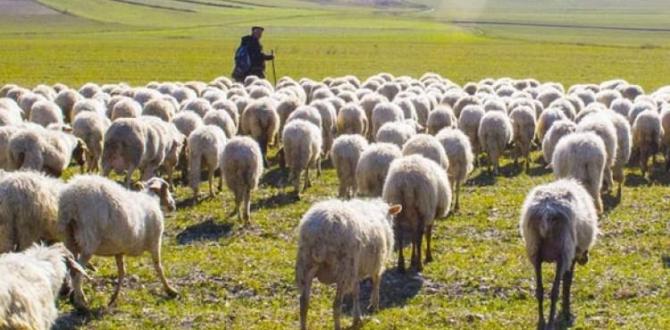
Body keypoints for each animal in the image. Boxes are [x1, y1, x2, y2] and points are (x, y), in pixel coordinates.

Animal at [59, 175, 178, 310]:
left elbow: (122, 272)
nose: (173, 205)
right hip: (88, 241)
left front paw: (113, 298)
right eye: (166, 187)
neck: (150, 199)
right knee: (77, 272)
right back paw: (81, 302)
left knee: (72, 268)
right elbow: (158, 267)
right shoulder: (155, 241)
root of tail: (71, 201)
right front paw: (170, 290)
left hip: (70, 239)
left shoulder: (119, 250)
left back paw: (75, 298)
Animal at [296, 199, 402, 330]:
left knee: (303, 303)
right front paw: (374, 305)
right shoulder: (376, 265)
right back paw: (338, 326)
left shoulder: (356, 271)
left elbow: (356, 291)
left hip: (306, 266)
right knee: (336, 304)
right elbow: (376, 283)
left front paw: (357, 318)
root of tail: (321, 230)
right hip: (344, 269)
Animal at [520, 179, 600, 330]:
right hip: (563, 250)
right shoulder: (571, 256)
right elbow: (567, 281)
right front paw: (566, 312)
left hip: (535, 250)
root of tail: (546, 212)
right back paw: (551, 323)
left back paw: (541, 321)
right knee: (554, 291)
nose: (585, 260)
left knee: (540, 290)